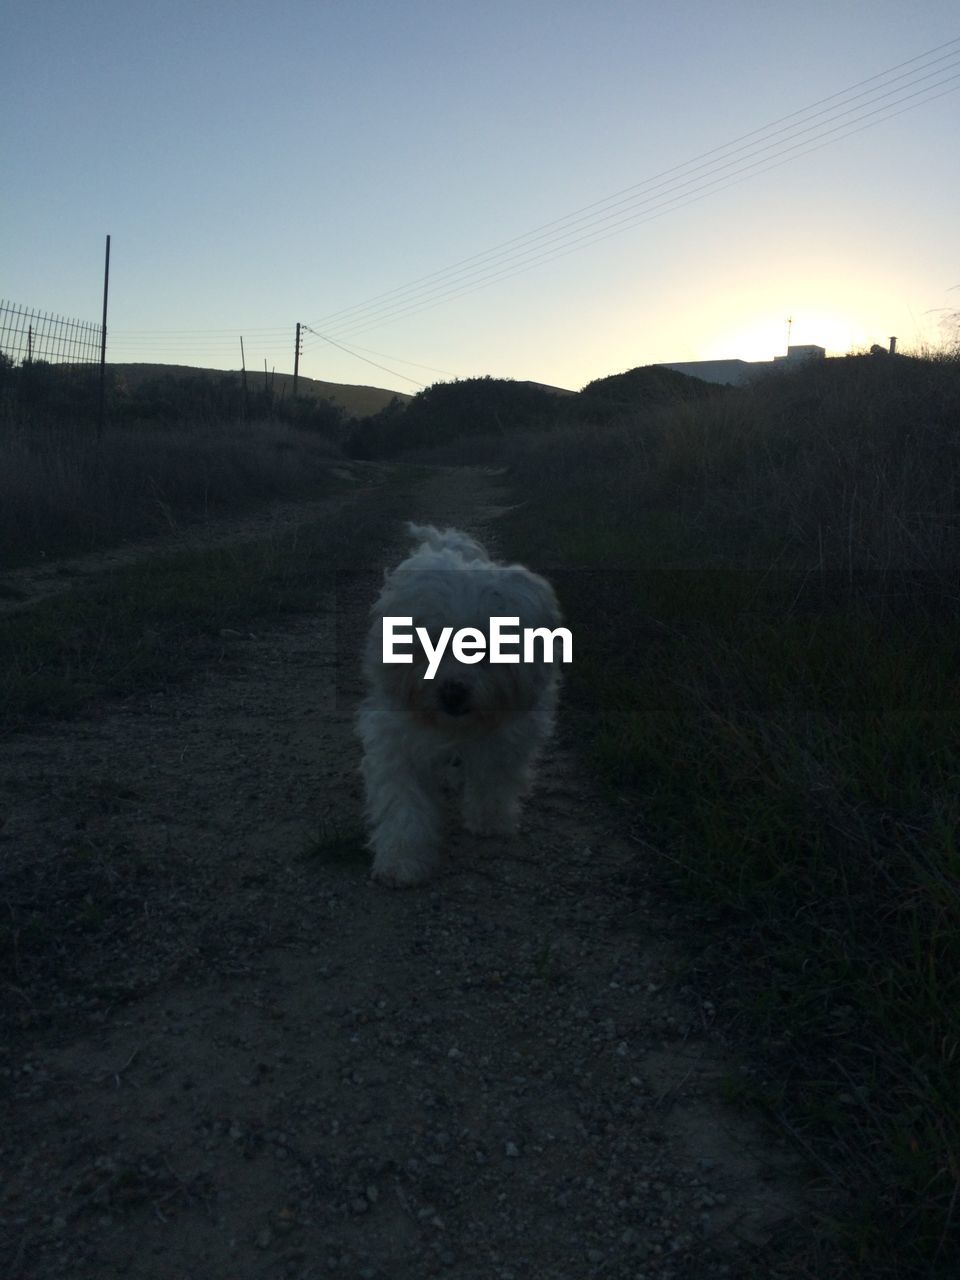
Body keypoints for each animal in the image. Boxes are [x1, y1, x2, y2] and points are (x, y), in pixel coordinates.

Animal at [358, 524, 560, 885]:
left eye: (489, 646)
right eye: (428, 639)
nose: (452, 691)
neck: (455, 728)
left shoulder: (508, 738)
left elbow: (495, 778)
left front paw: (490, 820)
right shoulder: (397, 741)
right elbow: (402, 801)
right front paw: (401, 859)